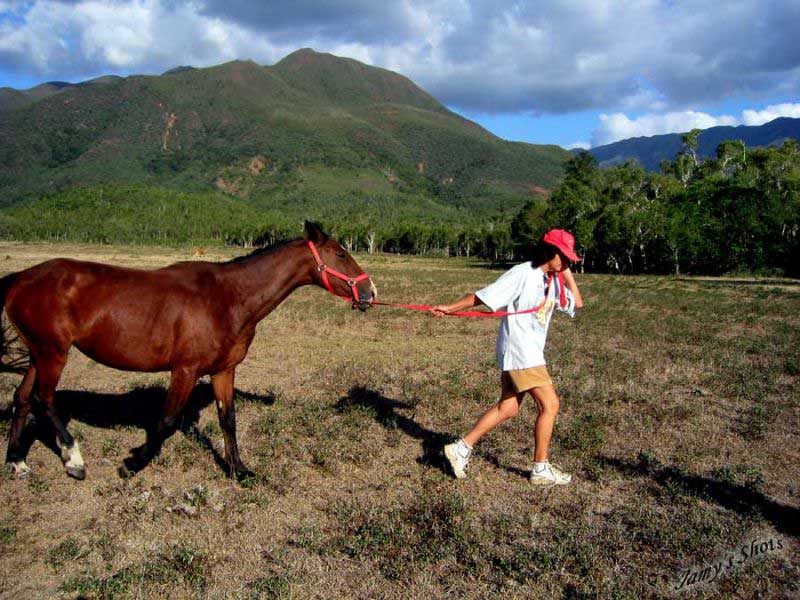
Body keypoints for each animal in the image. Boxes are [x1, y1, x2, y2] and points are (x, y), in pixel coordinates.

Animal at [0, 221, 376, 480]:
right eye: (341, 253)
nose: (370, 292)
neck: (226, 298)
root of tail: (21, 278)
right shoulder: (185, 370)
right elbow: (167, 420)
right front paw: (132, 463)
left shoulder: (224, 370)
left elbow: (228, 420)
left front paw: (239, 470)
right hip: (53, 354)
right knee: (44, 400)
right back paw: (74, 460)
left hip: (39, 353)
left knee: (23, 398)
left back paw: (18, 462)